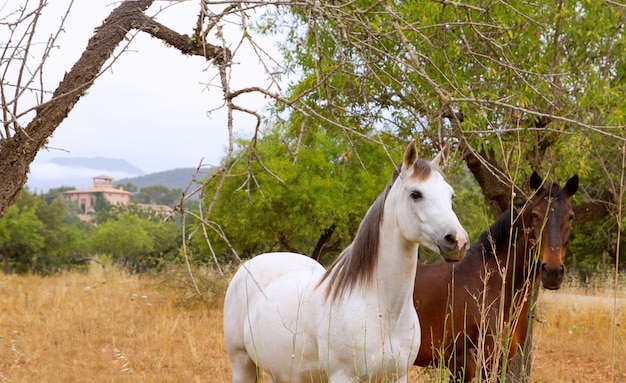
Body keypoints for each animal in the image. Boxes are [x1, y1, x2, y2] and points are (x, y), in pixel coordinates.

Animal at [222, 142, 466, 383]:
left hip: (281, 372)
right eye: (416, 194)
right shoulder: (343, 376)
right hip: (242, 365)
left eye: (451, 195)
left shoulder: (398, 376)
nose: (458, 241)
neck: (384, 312)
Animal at [412, 172, 576, 382]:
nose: (553, 271)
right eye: (536, 215)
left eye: (570, 216)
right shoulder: (463, 366)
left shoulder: (498, 364)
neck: (493, 285)